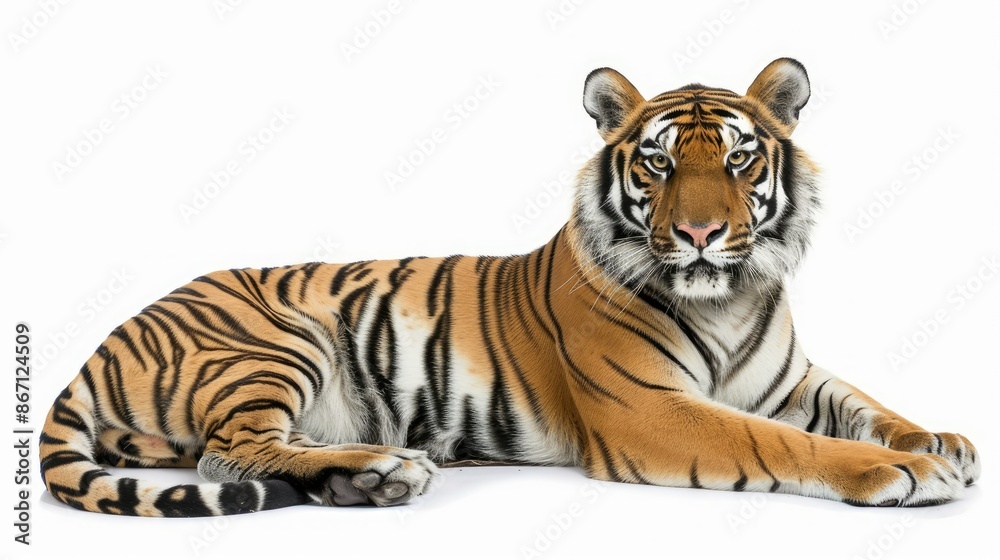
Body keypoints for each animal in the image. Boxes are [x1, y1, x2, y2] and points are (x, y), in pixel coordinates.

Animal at [40, 58, 980, 517]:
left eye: (739, 160)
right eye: (659, 163)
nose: (701, 235)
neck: (732, 294)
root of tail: (100, 345)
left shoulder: (788, 378)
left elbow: (862, 402)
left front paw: (938, 440)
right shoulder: (649, 409)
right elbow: (782, 443)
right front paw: (903, 471)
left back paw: (364, 483)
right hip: (275, 339)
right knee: (228, 449)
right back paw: (383, 464)